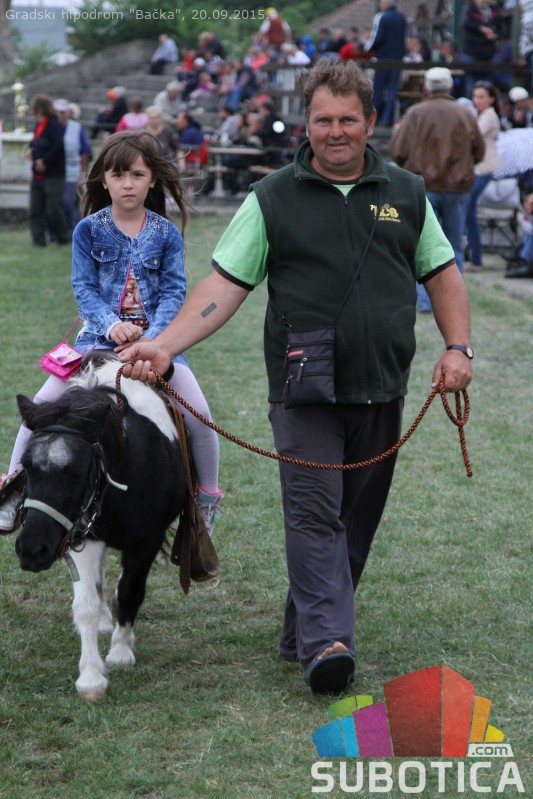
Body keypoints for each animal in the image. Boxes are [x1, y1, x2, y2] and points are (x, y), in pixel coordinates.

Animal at [14, 358, 186, 699]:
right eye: (26, 466)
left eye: (76, 472)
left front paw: (120, 651)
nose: (31, 551)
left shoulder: (147, 539)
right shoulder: (83, 534)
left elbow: (131, 591)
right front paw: (91, 677)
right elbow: (86, 605)